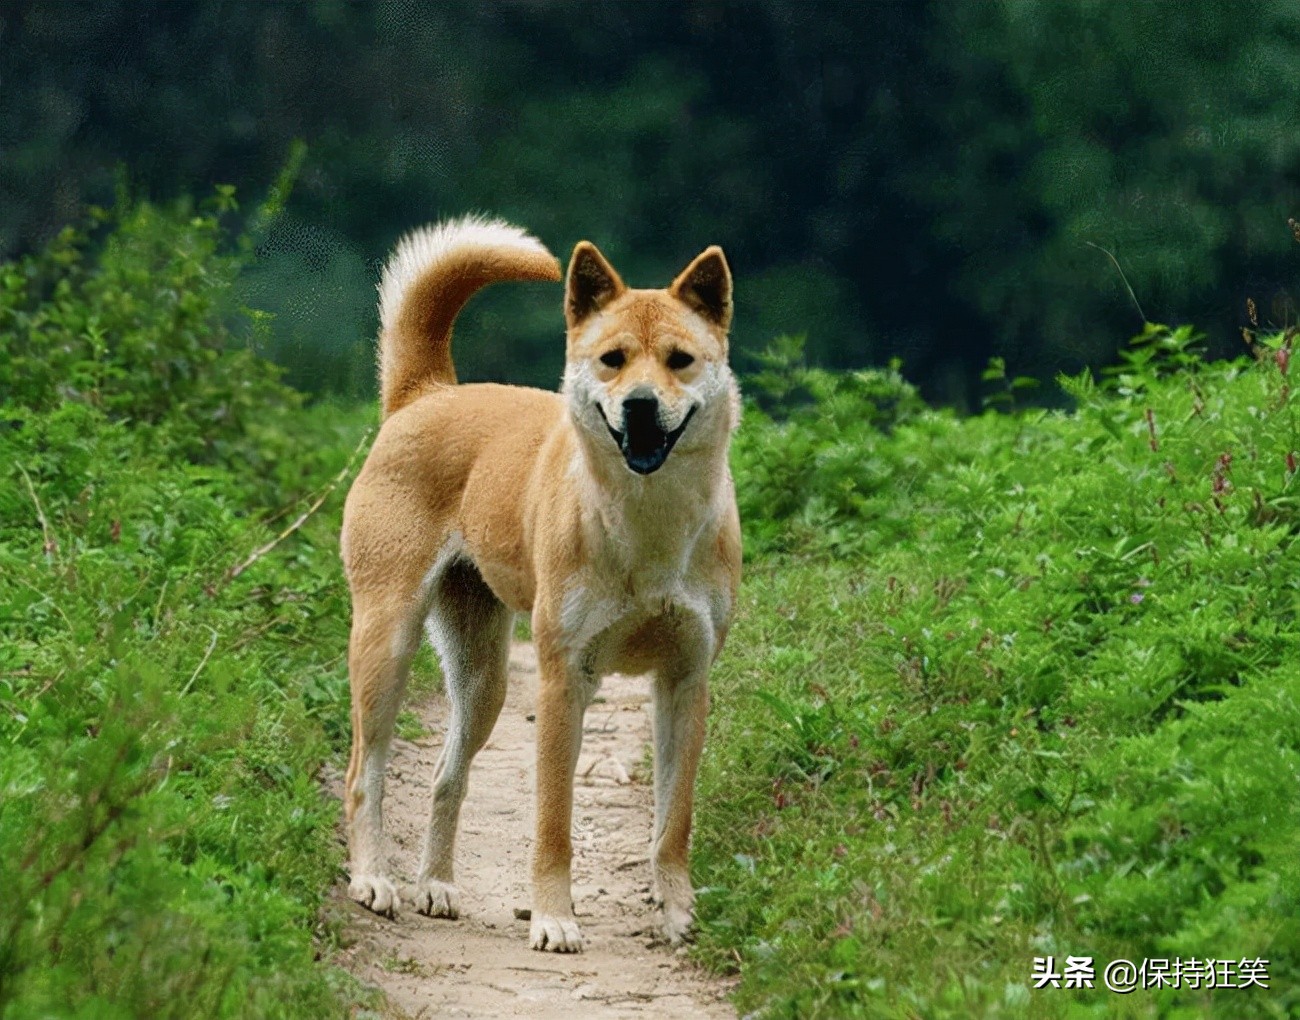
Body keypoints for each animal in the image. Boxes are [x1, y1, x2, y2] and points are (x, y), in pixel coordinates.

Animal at [335, 216, 743, 956]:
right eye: (612, 359)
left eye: (680, 360)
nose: (641, 406)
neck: (647, 526)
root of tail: (429, 393)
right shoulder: (563, 680)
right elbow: (553, 823)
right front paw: (555, 918)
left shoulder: (686, 681)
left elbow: (673, 823)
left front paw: (677, 914)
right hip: (387, 644)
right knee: (362, 775)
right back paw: (373, 880)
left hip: (483, 680)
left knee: (446, 777)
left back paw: (436, 886)